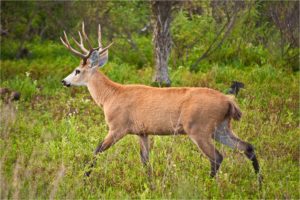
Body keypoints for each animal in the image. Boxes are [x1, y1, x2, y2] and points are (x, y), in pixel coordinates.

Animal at [60, 22, 260, 182]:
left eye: (77, 70)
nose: (64, 81)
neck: (110, 96)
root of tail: (229, 101)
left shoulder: (118, 127)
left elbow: (97, 150)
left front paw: (83, 179)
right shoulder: (142, 132)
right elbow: (145, 160)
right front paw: (150, 183)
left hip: (199, 128)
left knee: (217, 157)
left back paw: (209, 184)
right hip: (221, 127)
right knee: (247, 147)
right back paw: (259, 183)